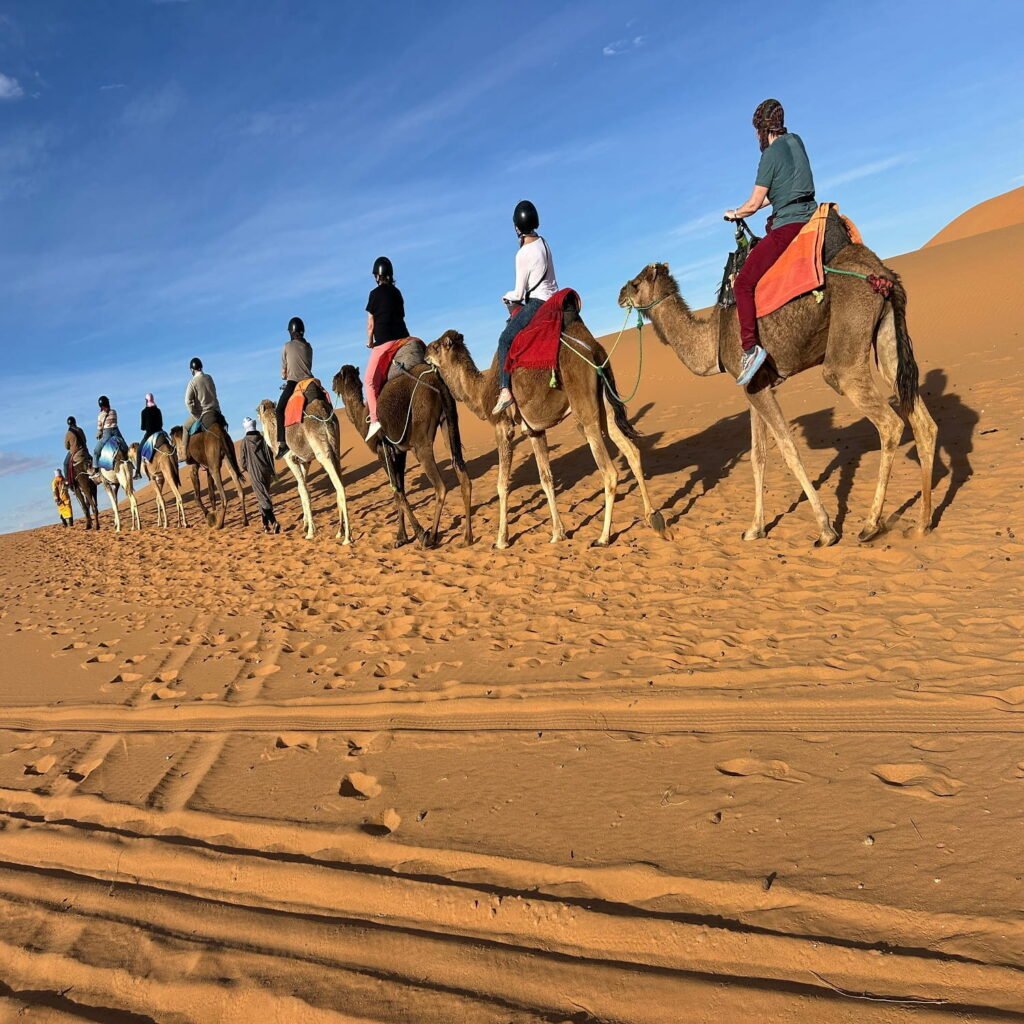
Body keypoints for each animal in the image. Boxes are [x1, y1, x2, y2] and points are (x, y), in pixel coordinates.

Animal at [257, 383, 351, 543]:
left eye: (257, 411)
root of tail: (323, 412)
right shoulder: (305, 461)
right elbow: (301, 488)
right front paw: (306, 525)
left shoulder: (290, 458)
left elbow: (305, 491)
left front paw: (311, 532)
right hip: (336, 447)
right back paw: (340, 532)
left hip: (322, 452)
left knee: (339, 486)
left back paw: (347, 537)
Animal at [332, 360, 472, 549]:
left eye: (337, 377)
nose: (331, 385)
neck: (362, 420)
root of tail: (437, 380)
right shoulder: (398, 452)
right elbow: (400, 490)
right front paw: (401, 537)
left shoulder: (382, 451)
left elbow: (397, 493)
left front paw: (420, 534)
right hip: (448, 423)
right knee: (463, 476)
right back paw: (467, 538)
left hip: (420, 439)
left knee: (441, 486)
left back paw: (431, 537)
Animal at [424, 311, 667, 548]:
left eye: (436, 346)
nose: (425, 352)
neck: (481, 392)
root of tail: (595, 351)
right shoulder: (534, 431)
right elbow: (546, 479)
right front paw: (557, 534)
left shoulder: (503, 427)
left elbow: (502, 484)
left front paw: (501, 540)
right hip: (605, 404)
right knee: (631, 451)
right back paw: (654, 518)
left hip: (583, 408)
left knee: (609, 471)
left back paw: (603, 538)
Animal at [619, 240, 937, 546]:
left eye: (635, 283)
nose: (619, 294)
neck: (713, 341)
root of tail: (881, 272)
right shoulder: (754, 385)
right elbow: (758, 456)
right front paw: (754, 529)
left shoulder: (757, 388)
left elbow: (788, 449)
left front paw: (825, 530)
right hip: (886, 338)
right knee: (923, 421)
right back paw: (921, 524)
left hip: (848, 340)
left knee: (888, 421)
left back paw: (871, 525)